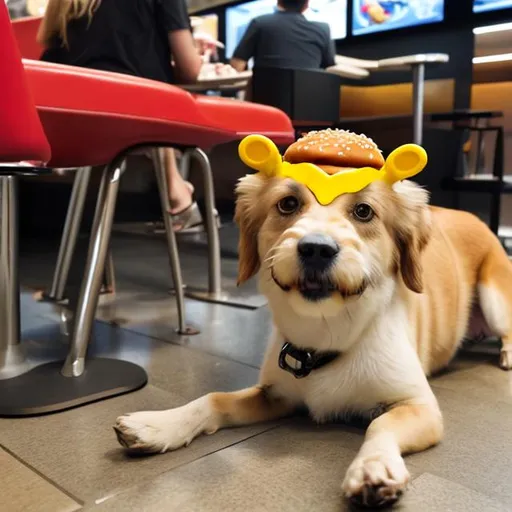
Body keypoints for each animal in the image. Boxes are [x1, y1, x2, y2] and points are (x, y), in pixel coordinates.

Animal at [113, 134, 512, 506]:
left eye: (364, 211)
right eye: (288, 204)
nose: (316, 249)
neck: (329, 331)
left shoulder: (418, 406)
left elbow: (380, 425)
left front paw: (373, 467)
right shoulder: (276, 394)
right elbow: (214, 399)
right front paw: (158, 425)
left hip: (494, 298)